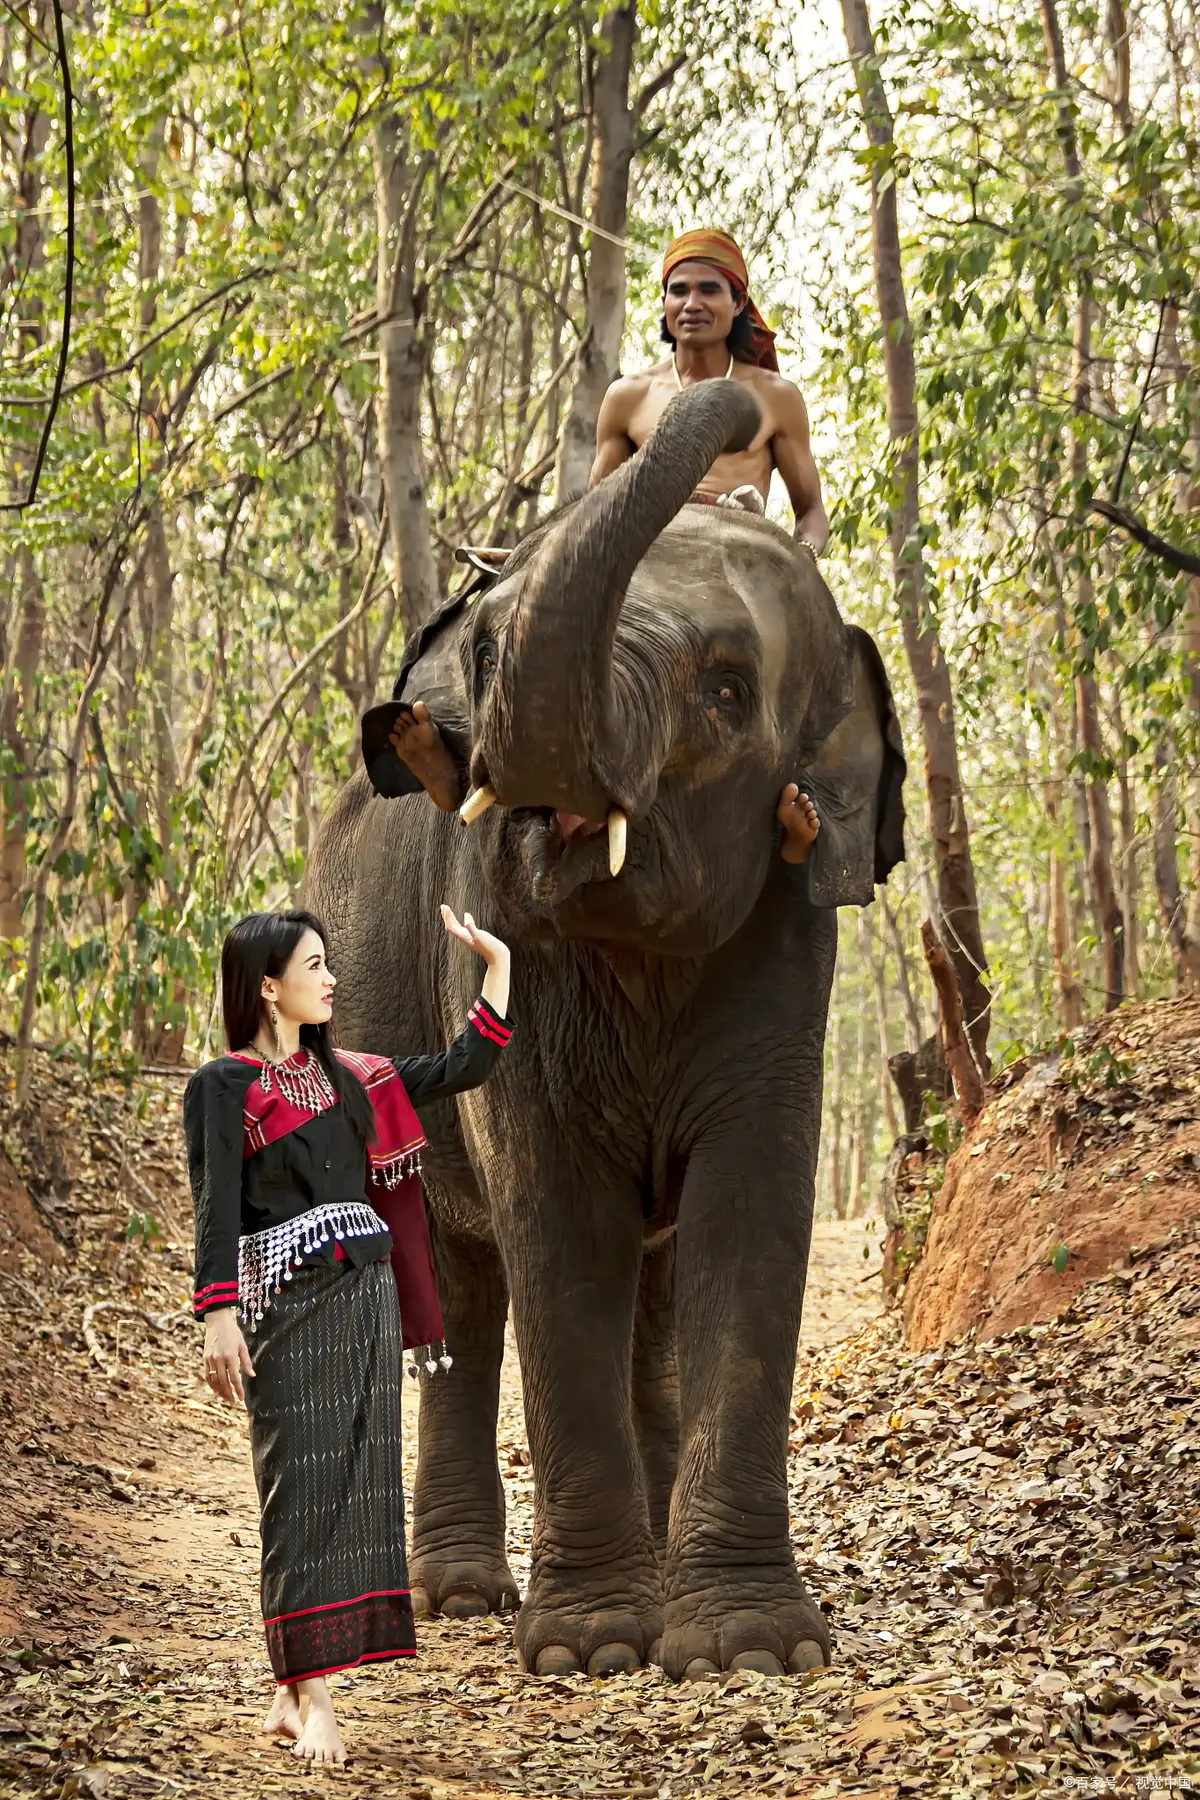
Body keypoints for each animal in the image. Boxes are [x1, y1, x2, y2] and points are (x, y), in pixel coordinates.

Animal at [304, 380, 906, 1680]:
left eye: (726, 689)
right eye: (487, 651)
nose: (729, 391)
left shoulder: (787, 947)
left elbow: (746, 1212)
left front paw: (745, 1652)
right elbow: (559, 1222)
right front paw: (590, 1652)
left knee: (657, 1288)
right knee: (467, 1291)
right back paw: (459, 1596)